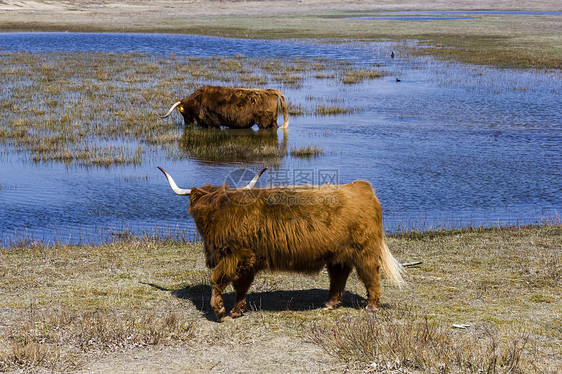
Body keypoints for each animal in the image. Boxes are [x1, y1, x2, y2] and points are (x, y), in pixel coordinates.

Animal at [158, 167, 402, 322]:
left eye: (216, 207)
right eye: (205, 207)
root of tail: (362, 187)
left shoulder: (236, 255)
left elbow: (217, 279)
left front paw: (219, 311)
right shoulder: (248, 260)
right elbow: (241, 286)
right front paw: (236, 311)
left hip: (365, 251)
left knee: (371, 276)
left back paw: (371, 306)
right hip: (338, 256)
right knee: (338, 277)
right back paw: (329, 304)